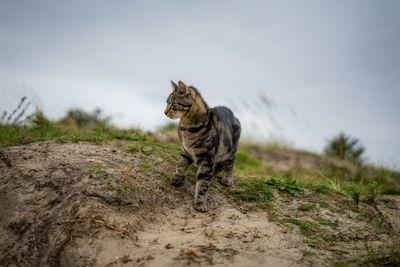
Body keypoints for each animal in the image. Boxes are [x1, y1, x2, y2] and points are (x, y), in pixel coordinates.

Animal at [163, 80, 241, 213]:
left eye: (173, 104)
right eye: (167, 102)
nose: (164, 112)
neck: (186, 127)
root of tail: (231, 112)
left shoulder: (206, 158)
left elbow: (203, 183)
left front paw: (200, 203)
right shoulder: (186, 151)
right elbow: (180, 165)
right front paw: (177, 179)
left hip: (229, 149)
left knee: (231, 163)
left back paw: (227, 178)